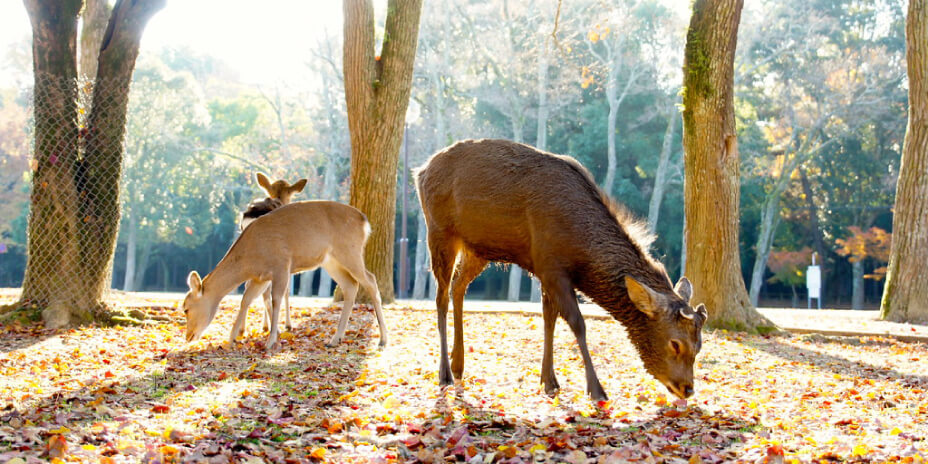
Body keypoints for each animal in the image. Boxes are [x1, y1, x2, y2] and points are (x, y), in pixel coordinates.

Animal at [185, 201, 388, 350]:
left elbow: (275, 300)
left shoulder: (281, 265)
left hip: (350, 251)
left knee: (371, 280)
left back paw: (383, 339)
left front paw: (270, 341)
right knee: (350, 285)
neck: (249, 259)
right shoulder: (260, 278)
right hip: (331, 261)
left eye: (186, 308)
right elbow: (246, 300)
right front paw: (231, 339)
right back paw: (334, 339)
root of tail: (364, 222)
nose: (188, 336)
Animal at [239, 172, 308, 332]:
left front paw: (264, 326)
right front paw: (288, 324)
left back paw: (242, 328)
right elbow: (287, 291)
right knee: (266, 292)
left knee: (248, 286)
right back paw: (276, 329)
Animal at [416, 139, 708, 402]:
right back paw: (444, 373)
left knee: (458, 286)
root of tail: (420, 171)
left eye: (699, 345)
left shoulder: (545, 269)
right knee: (440, 296)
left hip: (478, 249)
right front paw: (596, 390)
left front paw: (549, 381)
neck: (580, 248)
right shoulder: (551, 266)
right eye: (675, 343)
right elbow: (577, 322)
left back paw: (459, 364)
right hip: (439, 231)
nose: (687, 389)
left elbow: (549, 319)